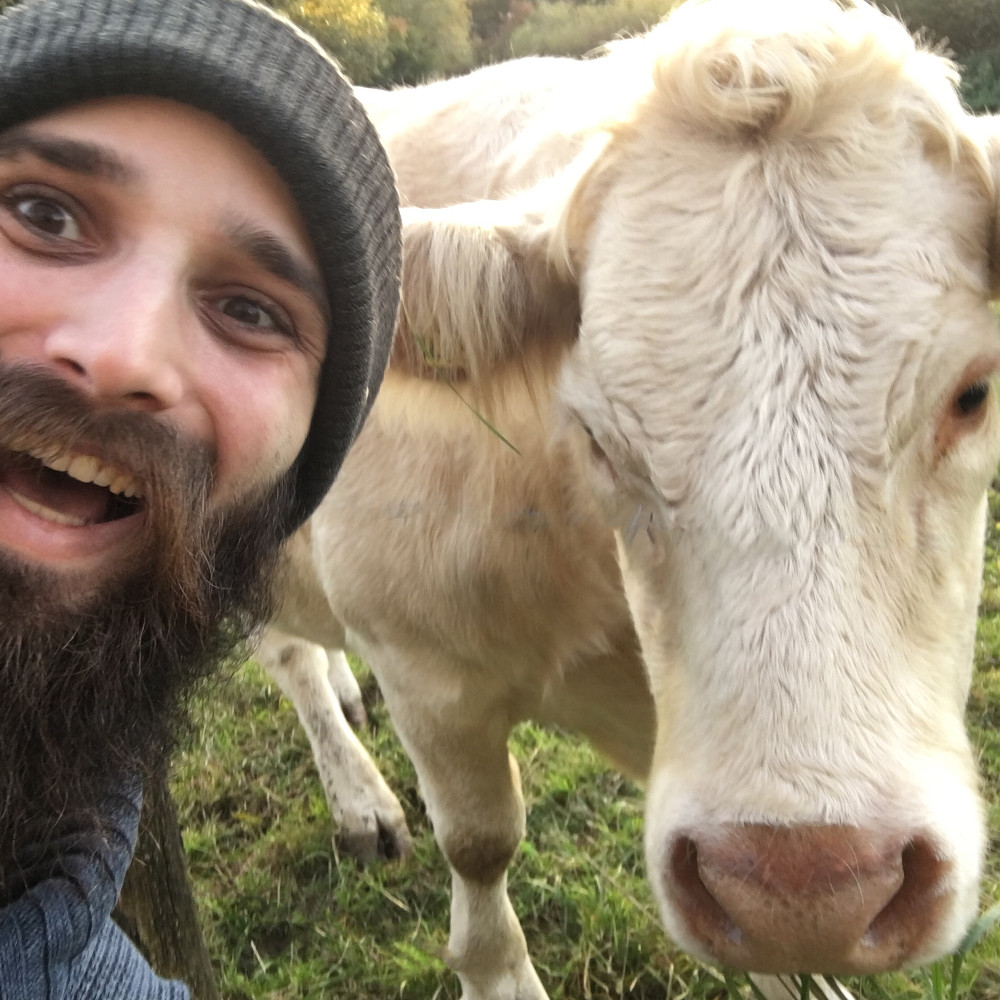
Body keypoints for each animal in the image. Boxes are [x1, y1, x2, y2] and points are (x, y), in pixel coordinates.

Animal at [262, 3, 1000, 996]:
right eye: (597, 432)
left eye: (973, 393)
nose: (808, 888)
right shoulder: (422, 671)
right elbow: (481, 844)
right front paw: (497, 970)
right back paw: (359, 797)